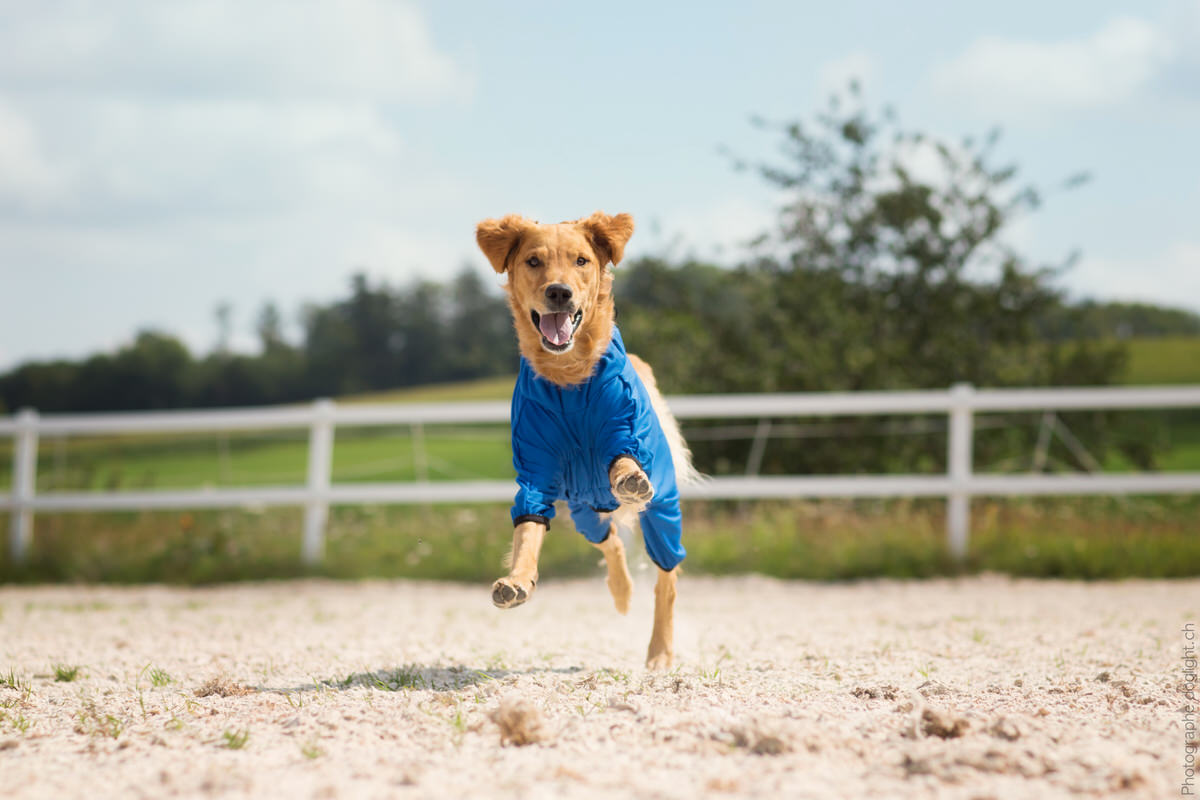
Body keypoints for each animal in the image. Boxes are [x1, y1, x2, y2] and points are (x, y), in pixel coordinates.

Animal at [472, 212, 700, 671]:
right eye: (533, 261)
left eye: (581, 260)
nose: (559, 292)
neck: (569, 382)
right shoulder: (535, 471)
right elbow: (527, 531)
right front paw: (517, 580)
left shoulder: (624, 430)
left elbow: (622, 459)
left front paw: (628, 478)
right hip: (584, 512)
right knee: (609, 542)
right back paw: (622, 592)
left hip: (663, 511)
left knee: (667, 577)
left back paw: (660, 651)